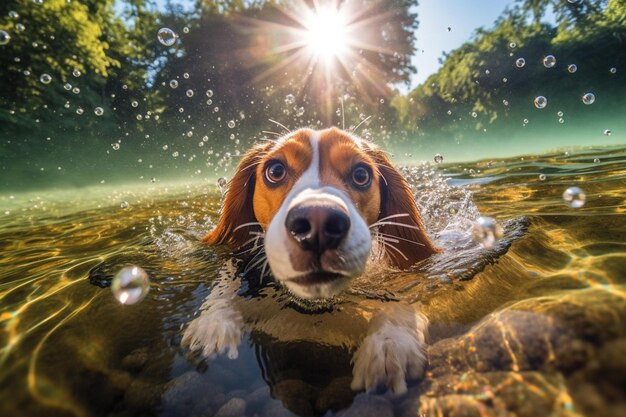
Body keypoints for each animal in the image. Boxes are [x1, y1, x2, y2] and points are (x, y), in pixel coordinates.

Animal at [183, 127, 442, 394]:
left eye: (361, 174)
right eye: (275, 171)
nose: (318, 223)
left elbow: (405, 288)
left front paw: (391, 340)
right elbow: (226, 278)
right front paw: (214, 322)